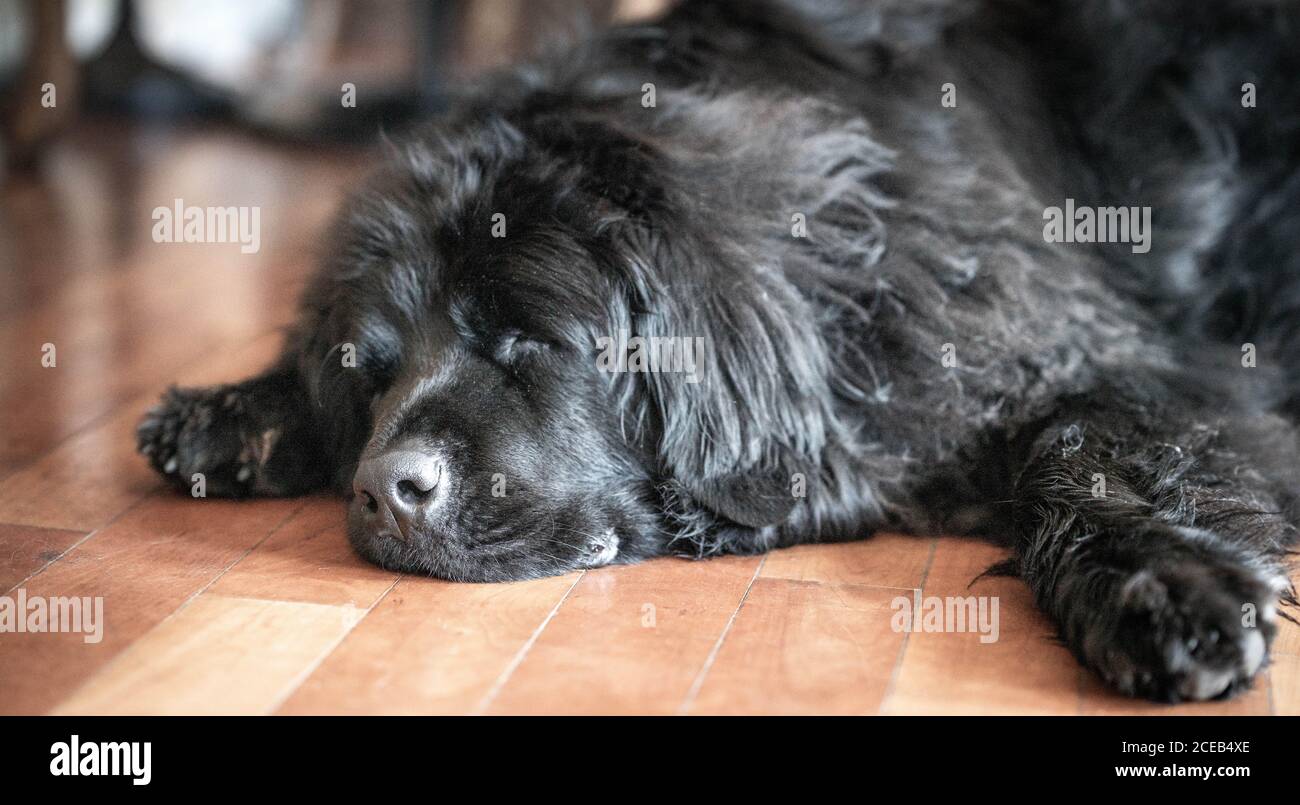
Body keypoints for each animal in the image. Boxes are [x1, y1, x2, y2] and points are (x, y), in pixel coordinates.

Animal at [137, 0, 1294, 702]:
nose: (386, 488)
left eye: (531, 339)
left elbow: (1088, 439)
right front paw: (237, 413)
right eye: (371, 371)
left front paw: (1161, 586)